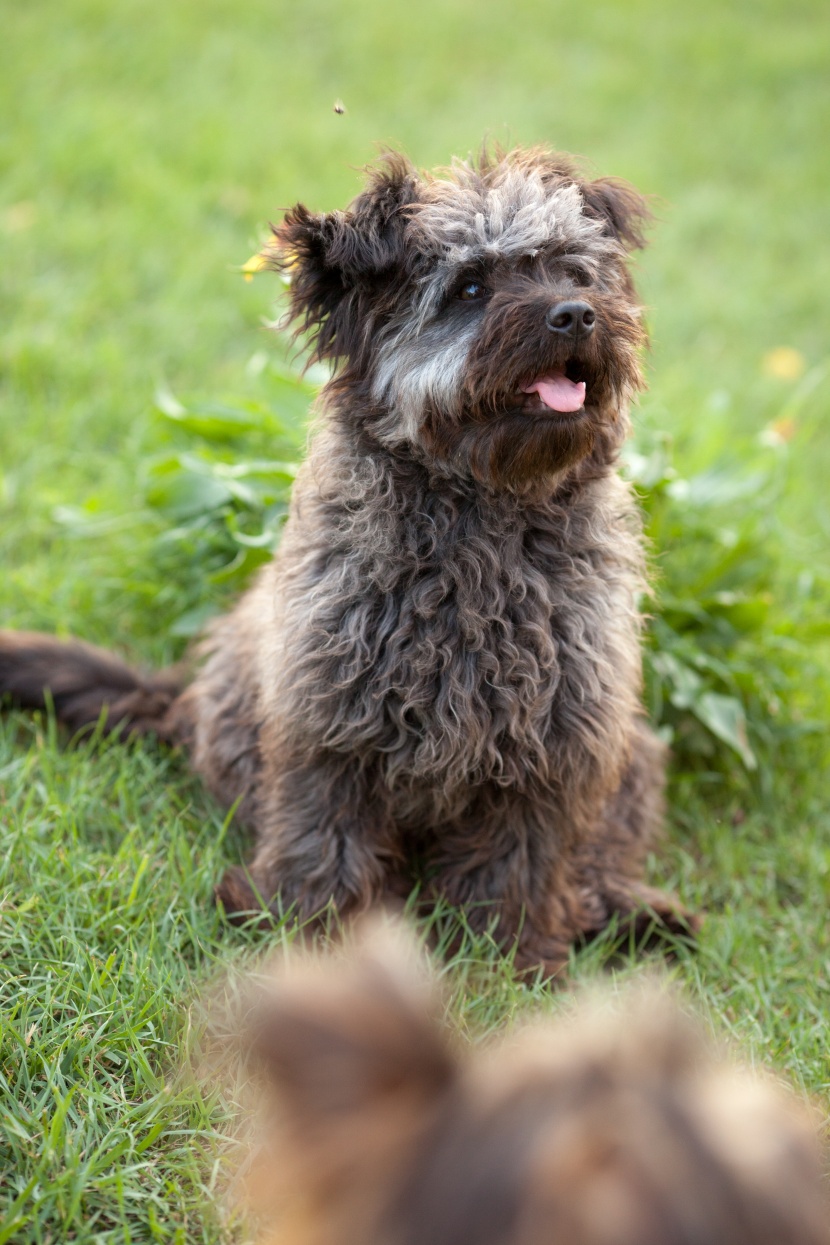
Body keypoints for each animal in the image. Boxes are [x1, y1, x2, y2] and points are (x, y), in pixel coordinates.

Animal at [0, 145, 696, 976]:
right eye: (470, 286)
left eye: (573, 271)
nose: (576, 315)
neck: (481, 522)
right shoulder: (329, 714)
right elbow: (324, 834)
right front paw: (320, 936)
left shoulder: (559, 735)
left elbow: (520, 856)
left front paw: (508, 953)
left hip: (632, 753)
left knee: (604, 848)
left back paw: (629, 909)